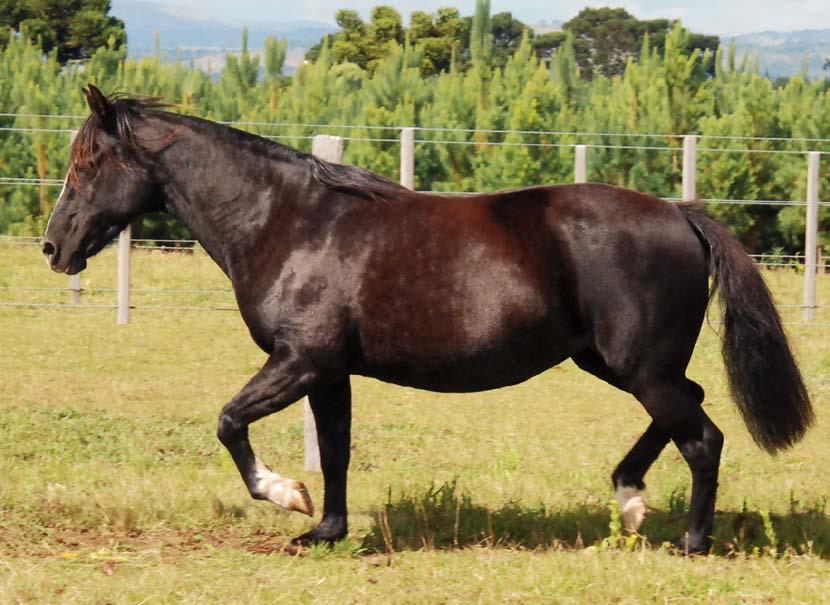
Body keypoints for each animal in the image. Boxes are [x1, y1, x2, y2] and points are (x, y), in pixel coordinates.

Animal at [42, 87, 816, 556]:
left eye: (89, 164)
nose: (54, 247)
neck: (288, 222)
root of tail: (679, 213)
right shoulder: (329, 372)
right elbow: (337, 449)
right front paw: (325, 529)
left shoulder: (299, 360)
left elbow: (231, 422)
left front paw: (286, 496)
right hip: (615, 362)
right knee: (688, 411)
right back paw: (628, 500)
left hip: (638, 367)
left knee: (704, 437)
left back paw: (690, 540)